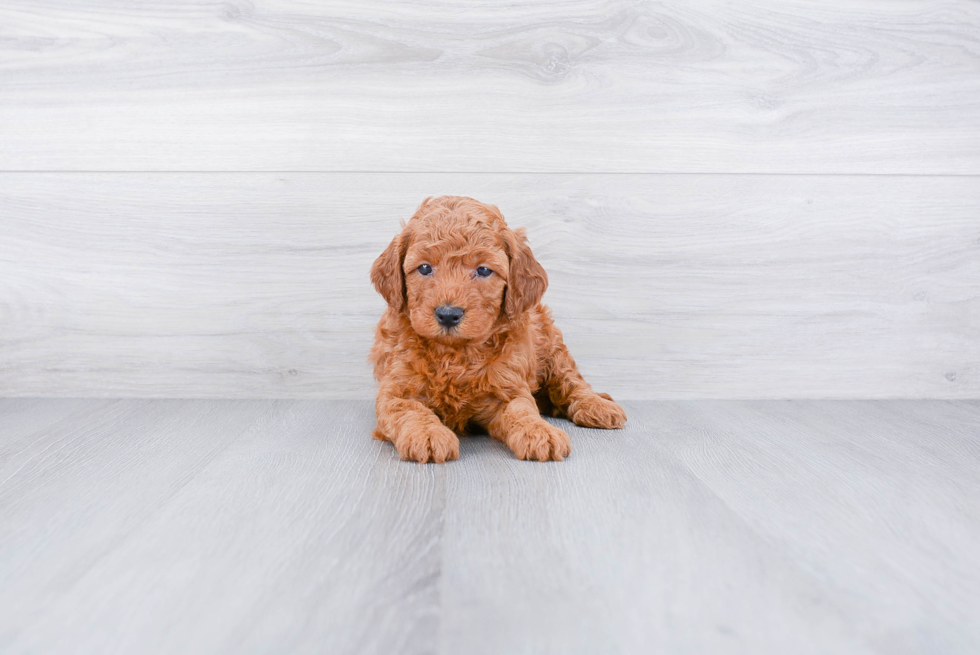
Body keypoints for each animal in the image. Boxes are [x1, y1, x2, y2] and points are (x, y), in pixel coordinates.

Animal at [368, 197, 628, 464]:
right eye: (424, 268)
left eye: (483, 270)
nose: (448, 314)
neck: (454, 354)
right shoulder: (396, 389)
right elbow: (409, 409)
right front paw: (428, 434)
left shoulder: (508, 387)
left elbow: (522, 410)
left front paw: (539, 432)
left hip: (552, 347)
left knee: (571, 381)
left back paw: (597, 406)